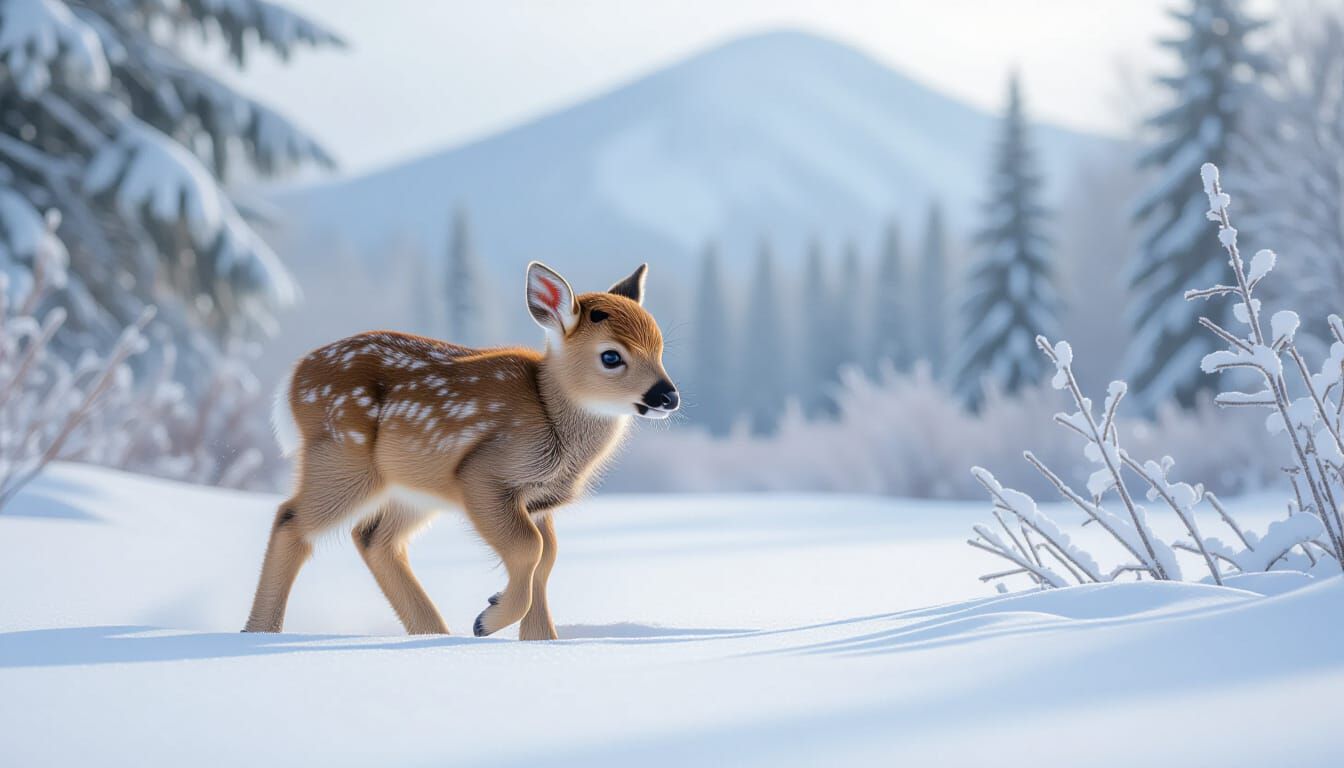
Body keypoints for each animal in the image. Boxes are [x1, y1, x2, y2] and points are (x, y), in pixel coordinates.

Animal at [243, 261, 678, 640]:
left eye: (659, 348)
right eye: (611, 356)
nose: (668, 396)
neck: (553, 422)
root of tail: (291, 382)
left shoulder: (539, 502)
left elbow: (547, 559)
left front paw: (539, 640)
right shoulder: (484, 473)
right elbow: (530, 548)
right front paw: (488, 619)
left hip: (412, 488)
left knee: (373, 538)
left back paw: (433, 633)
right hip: (344, 457)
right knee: (291, 519)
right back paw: (259, 634)